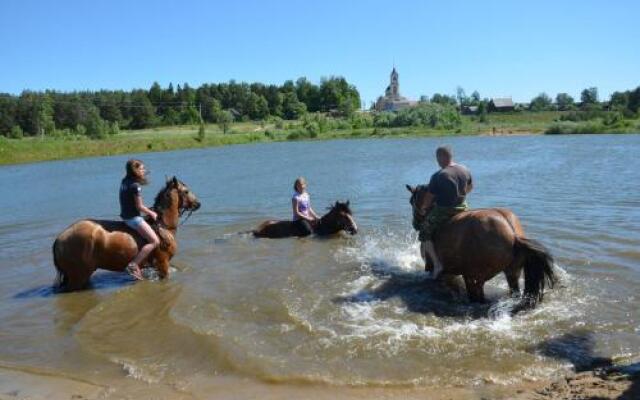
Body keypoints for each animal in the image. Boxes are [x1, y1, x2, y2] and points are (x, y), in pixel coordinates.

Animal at [52, 177, 200, 290]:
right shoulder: (163, 263)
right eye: (186, 191)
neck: (163, 226)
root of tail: (59, 239)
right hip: (78, 277)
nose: (198, 204)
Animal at [410, 184, 556, 312]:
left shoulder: (432, 268)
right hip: (512, 273)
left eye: (412, 201)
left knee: (477, 293)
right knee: (511, 293)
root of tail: (513, 233)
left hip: (478, 274)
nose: (415, 223)